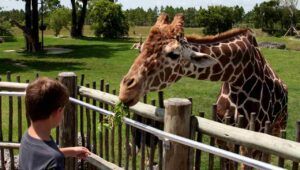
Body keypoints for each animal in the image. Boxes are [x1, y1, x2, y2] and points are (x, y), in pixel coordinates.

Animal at [118, 12, 288, 167]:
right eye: (141, 48)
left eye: (173, 54)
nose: (125, 91)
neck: (239, 77)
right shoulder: (223, 139)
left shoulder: (250, 144)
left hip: (278, 127)